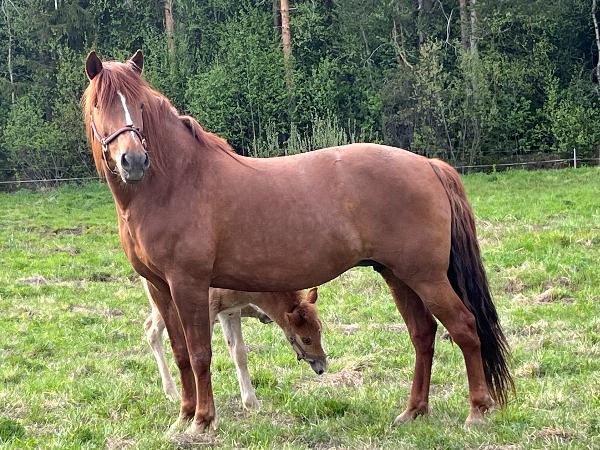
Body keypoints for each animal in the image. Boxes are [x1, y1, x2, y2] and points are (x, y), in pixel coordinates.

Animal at [143, 279, 324, 410]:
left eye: (320, 329)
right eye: (306, 339)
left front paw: (251, 403)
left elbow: (239, 353)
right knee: (151, 330)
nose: (322, 366)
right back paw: (172, 393)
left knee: (150, 327)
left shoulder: (229, 311)